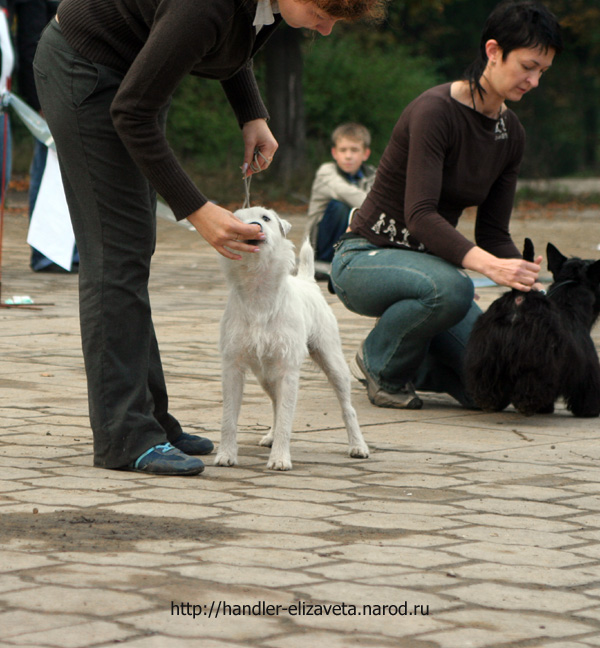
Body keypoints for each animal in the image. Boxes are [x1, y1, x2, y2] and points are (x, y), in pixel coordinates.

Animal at [213, 205, 368, 468]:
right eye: (238, 220)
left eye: (265, 218)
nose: (254, 226)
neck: (258, 290)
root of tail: (308, 281)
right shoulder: (233, 367)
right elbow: (229, 417)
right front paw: (226, 455)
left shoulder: (287, 369)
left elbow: (286, 417)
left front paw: (279, 459)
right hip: (265, 375)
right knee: (276, 404)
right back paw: (270, 436)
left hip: (333, 362)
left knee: (348, 407)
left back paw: (358, 446)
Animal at [464, 238, 600, 416]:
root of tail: (519, 297)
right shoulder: (586, 366)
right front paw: (590, 410)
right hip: (536, 358)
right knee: (532, 383)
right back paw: (527, 404)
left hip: (488, 353)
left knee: (485, 378)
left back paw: (488, 401)